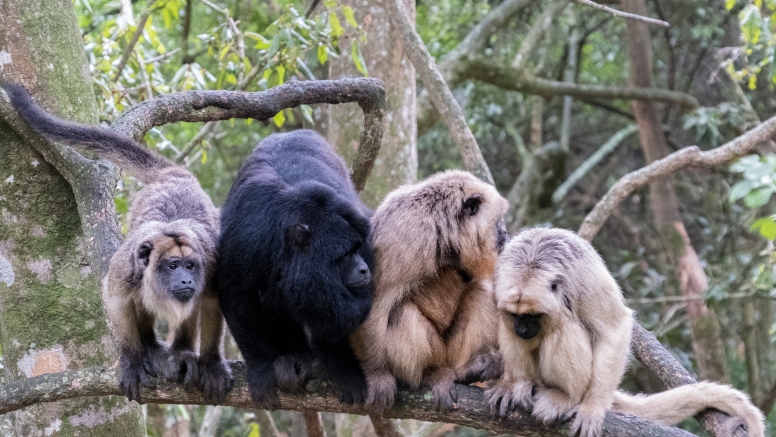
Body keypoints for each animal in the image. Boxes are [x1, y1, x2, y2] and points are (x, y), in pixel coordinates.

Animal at [484, 227, 764, 436]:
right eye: (517, 315)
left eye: (532, 316)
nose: (522, 328)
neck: (533, 259)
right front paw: (510, 382)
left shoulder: (583, 277)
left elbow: (614, 328)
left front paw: (593, 407)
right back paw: (522, 383)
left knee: (563, 325)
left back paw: (565, 396)